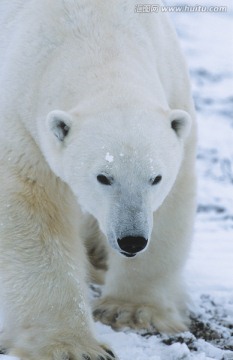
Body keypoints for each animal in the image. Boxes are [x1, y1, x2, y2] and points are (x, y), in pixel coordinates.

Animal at [0, 0, 197, 358]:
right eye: (103, 177)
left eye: (155, 178)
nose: (131, 240)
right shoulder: (22, 121)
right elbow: (33, 213)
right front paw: (74, 346)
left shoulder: (173, 89)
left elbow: (173, 204)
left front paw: (131, 311)